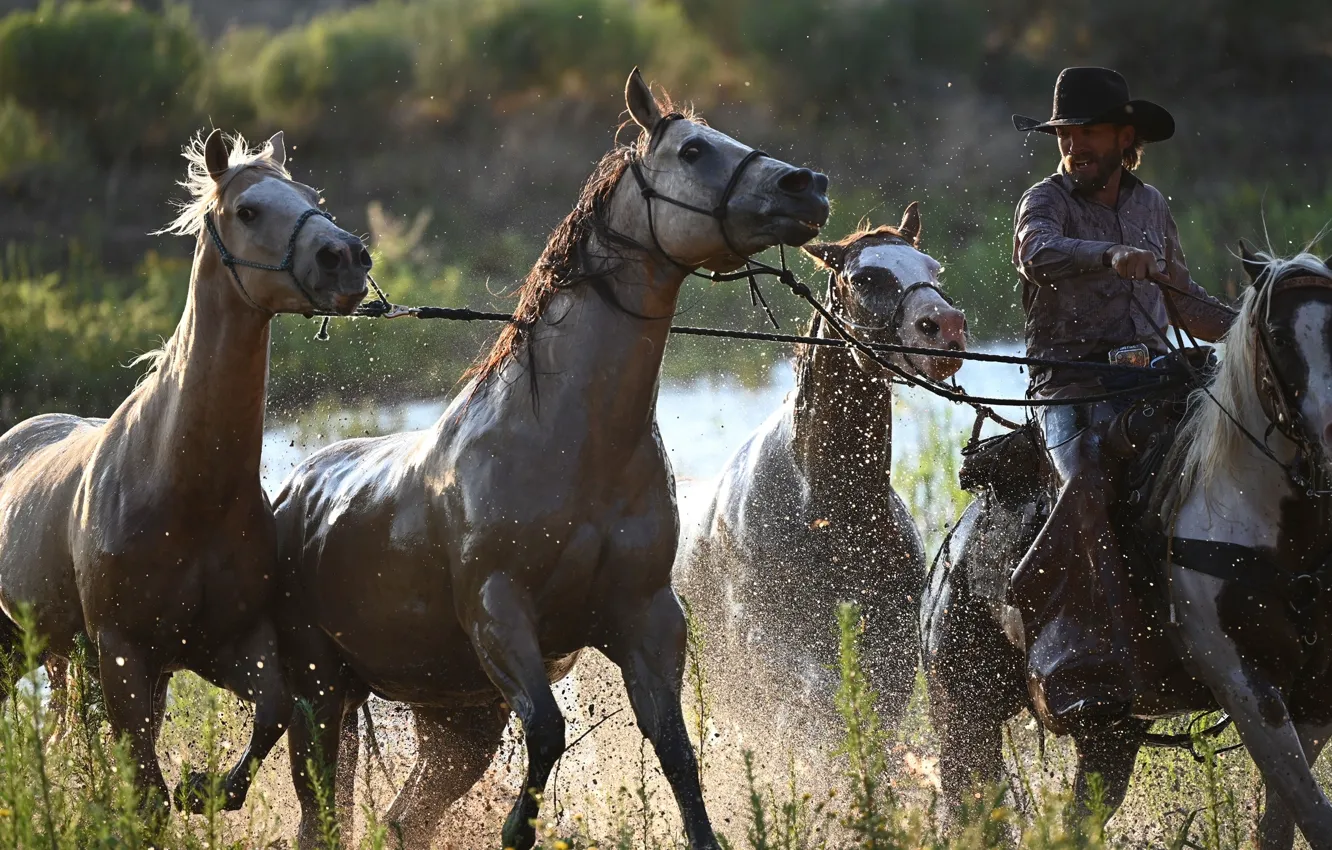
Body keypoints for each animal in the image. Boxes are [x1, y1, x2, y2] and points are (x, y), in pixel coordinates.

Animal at [0, 128, 369, 811]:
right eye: (247, 210)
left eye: (313, 197)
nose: (346, 258)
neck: (184, 490)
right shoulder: (122, 656)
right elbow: (144, 793)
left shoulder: (228, 645)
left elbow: (273, 711)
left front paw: (208, 788)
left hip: (61, 656)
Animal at [271, 68, 830, 850]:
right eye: (693, 149)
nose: (807, 186)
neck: (569, 441)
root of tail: (293, 494)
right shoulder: (500, 616)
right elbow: (547, 735)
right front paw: (517, 827)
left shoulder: (646, 620)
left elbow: (677, 753)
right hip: (320, 697)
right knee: (321, 816)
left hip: (455, 717)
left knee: (400, 820)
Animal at [675, 205, 967, 740]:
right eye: (865, 277)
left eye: (932, 269)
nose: (946, 326)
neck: (827, 509)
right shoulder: (773, 654)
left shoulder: (892, 661)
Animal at [921, 247, 1332, 848]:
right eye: (1278, 334)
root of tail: (949, 554)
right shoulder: (1245, 684)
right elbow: (1310, 812)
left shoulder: (1314, 699)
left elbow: (1285, 822)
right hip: (964, 712)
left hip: (1108, 736)